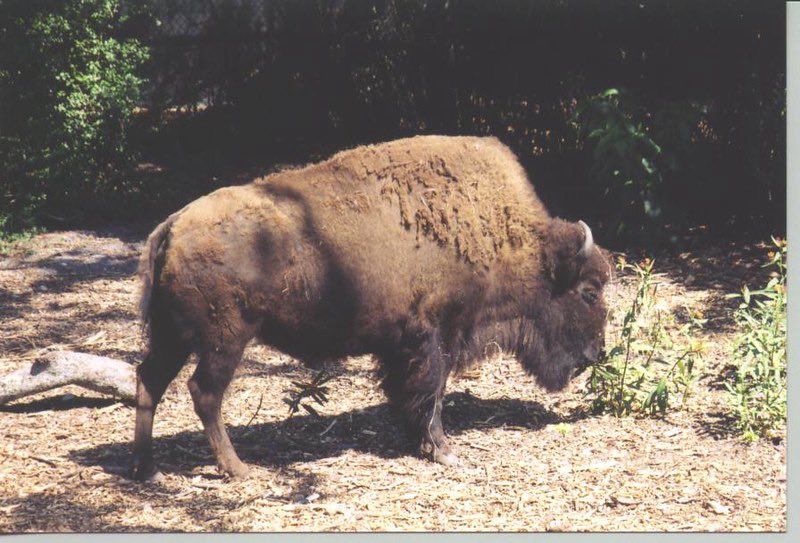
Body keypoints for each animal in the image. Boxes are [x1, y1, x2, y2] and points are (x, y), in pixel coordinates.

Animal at [130, 135, 611, 480]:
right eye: (589, 291)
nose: (595, 354)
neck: (509, 238)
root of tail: (172, 225)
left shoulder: (403, 346)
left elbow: (408, 394)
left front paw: (418, 443)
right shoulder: (436, 336)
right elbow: (431, 394)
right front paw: (443, 451)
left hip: (173, 336)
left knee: (149, 380)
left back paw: (147, 469)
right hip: (224, 340)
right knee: (204, 393)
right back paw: (238, 470)